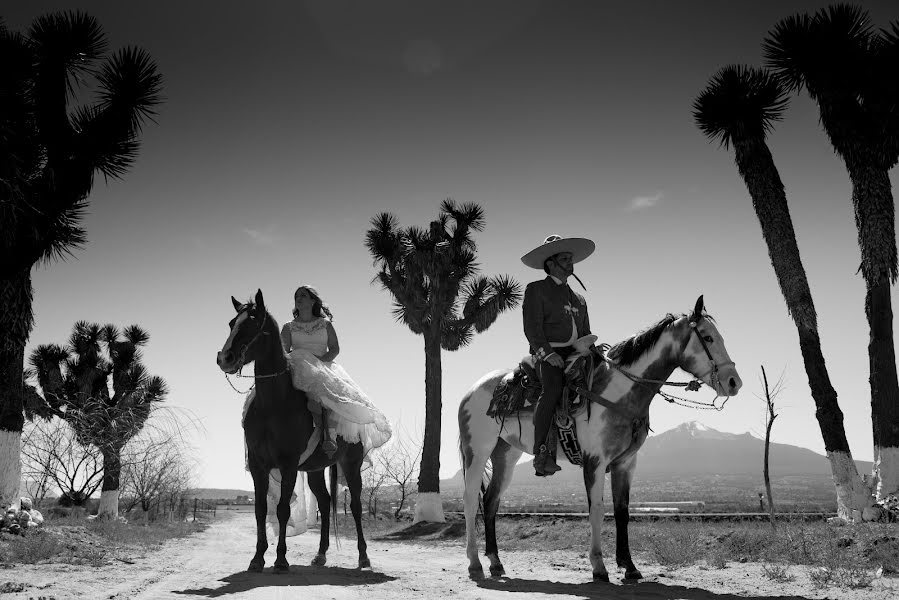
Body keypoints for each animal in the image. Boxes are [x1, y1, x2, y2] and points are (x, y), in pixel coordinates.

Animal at [215, 290, 370, 572]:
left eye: (253, 324)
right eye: (232, 323)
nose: (225, 358)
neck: (273, 404)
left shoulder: (287, 465)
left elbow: (282, 510)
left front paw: (281, 559)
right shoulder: (259, 466)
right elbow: (261, 510)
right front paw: (257, 558)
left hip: (351, 465)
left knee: (355, 505)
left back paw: (363, 557)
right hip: (315, 470)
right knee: (324, 502)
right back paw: (320, 555)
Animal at [460, 296, 740, 580]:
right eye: (708, 337)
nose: (733, 382)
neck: (618, 393)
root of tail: (472, 390)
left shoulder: (625, 464)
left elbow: (622, 512)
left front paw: (629, 566)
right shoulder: (594, 461)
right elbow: (597, 510)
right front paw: (599, 566)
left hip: (505, 454)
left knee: (491, 501)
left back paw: (495, 562)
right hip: (477, 451)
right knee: (471, 500)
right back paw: (474, 563)